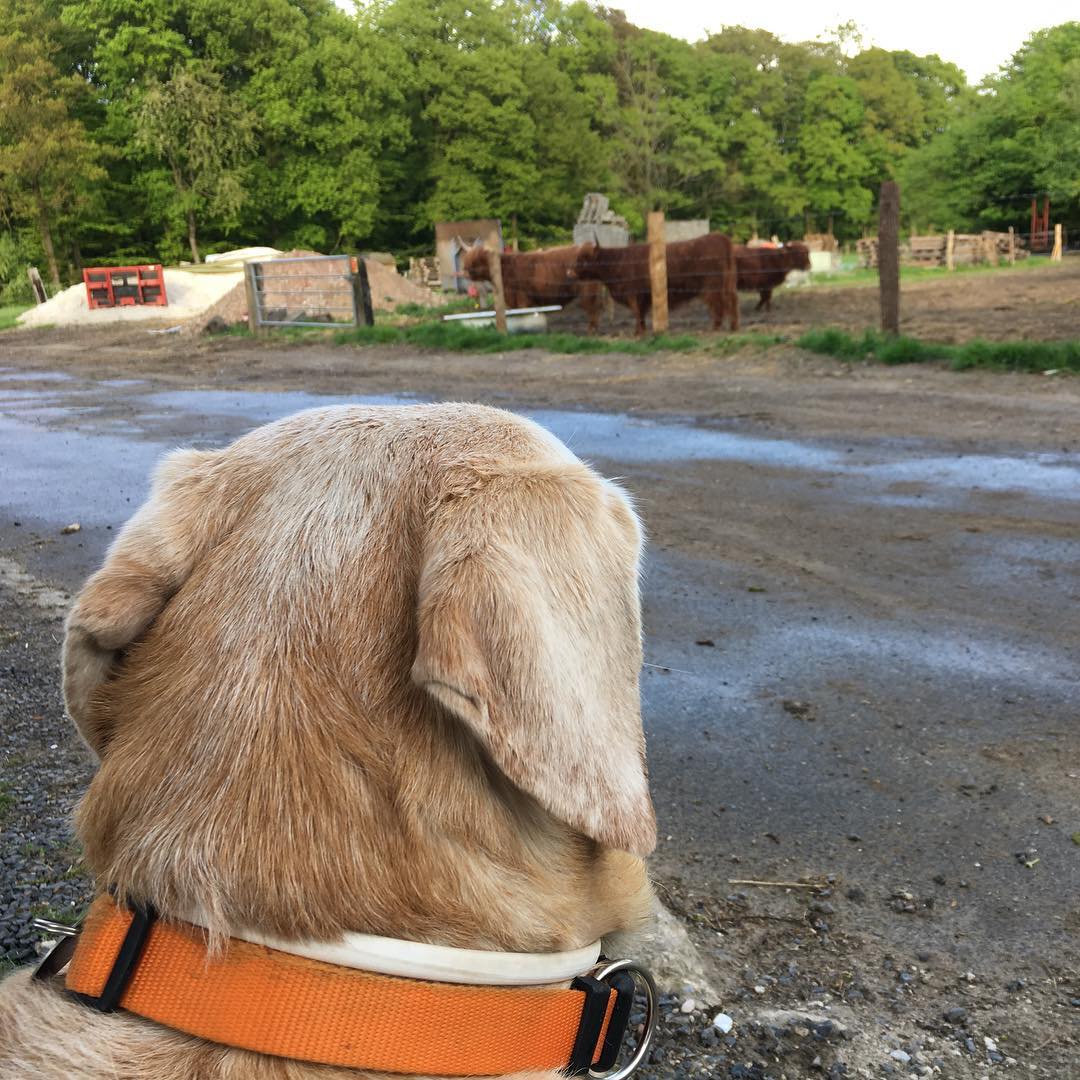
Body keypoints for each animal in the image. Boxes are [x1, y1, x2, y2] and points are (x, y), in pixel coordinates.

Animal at [462, 245, 613, 332]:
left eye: (475, 260)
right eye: (467, 259)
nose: (465, 271)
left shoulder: (522, 298)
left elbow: (524, 314)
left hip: (587, 291)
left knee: (593, 308)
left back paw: (591, 331)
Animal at [570, 233, 738, 334]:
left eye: (584, 258)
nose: (570, 272)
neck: (617, 262)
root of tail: (719, 238)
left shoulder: (633, 295)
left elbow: (637, 313)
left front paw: (637, 332)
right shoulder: (643, 297)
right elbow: (641, 313)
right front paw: (642, 330)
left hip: (713, 286)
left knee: (719, 305)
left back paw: (715, 328)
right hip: (727, 284)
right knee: (732, 302)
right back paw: (733, 327)